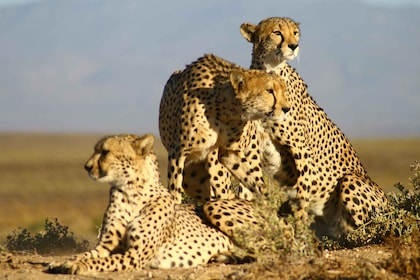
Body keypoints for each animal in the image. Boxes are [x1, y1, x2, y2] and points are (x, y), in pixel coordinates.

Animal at [46, 133, 236, 274]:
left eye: (105, 152)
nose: (86, 166)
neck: (131, 192)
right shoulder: (105, 246)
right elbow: (86, 254)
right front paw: (64, 262)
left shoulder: (135, 255)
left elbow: (103, 261)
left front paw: (79, 266)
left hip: (213, 206)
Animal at [159, 54, 290, 203]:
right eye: (269, 91)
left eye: (284, 91)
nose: (287, 109)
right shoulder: (178, 153)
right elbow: (174, 191)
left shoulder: (228, 153)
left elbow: (254, 180)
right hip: (192, 178)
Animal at [240, 16, 388, 237]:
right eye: (277, 32)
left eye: (295, 33)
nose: (294, 46)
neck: (269, 71)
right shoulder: (251, 148)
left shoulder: (301, 150)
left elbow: (302, 195)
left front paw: (299, 232)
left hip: (350, 180)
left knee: (370, 228)